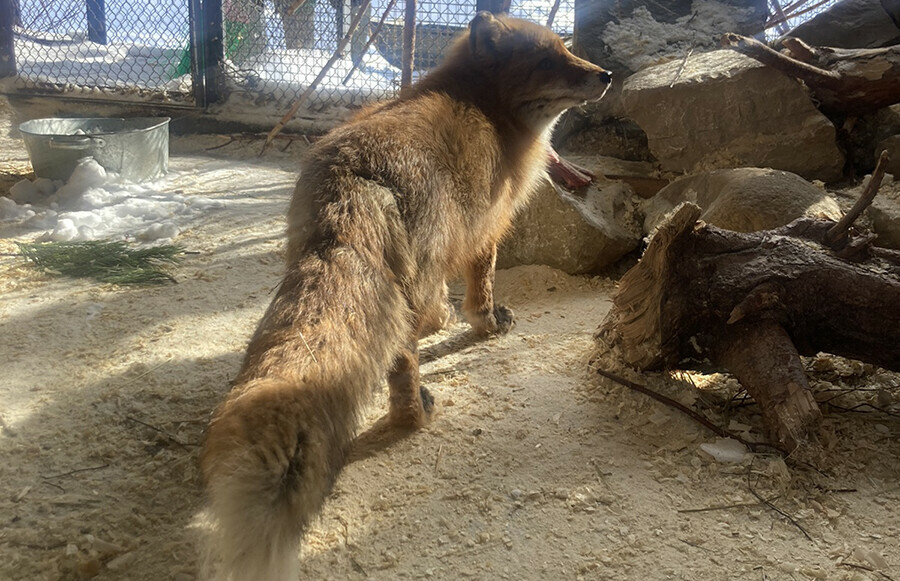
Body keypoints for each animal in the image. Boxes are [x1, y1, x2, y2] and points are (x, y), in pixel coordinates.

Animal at [200, 11, 608, 576]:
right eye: (550, 60)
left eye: (567, 51)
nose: (606, 75)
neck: (486, 108)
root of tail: (354, 173)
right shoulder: (485, 232)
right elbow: (480, 292)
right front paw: (485, 324)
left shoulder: (431, 265)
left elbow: (438, 306)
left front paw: (444, 318)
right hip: (408, 290)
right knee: (403, 357)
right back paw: (414, 414)